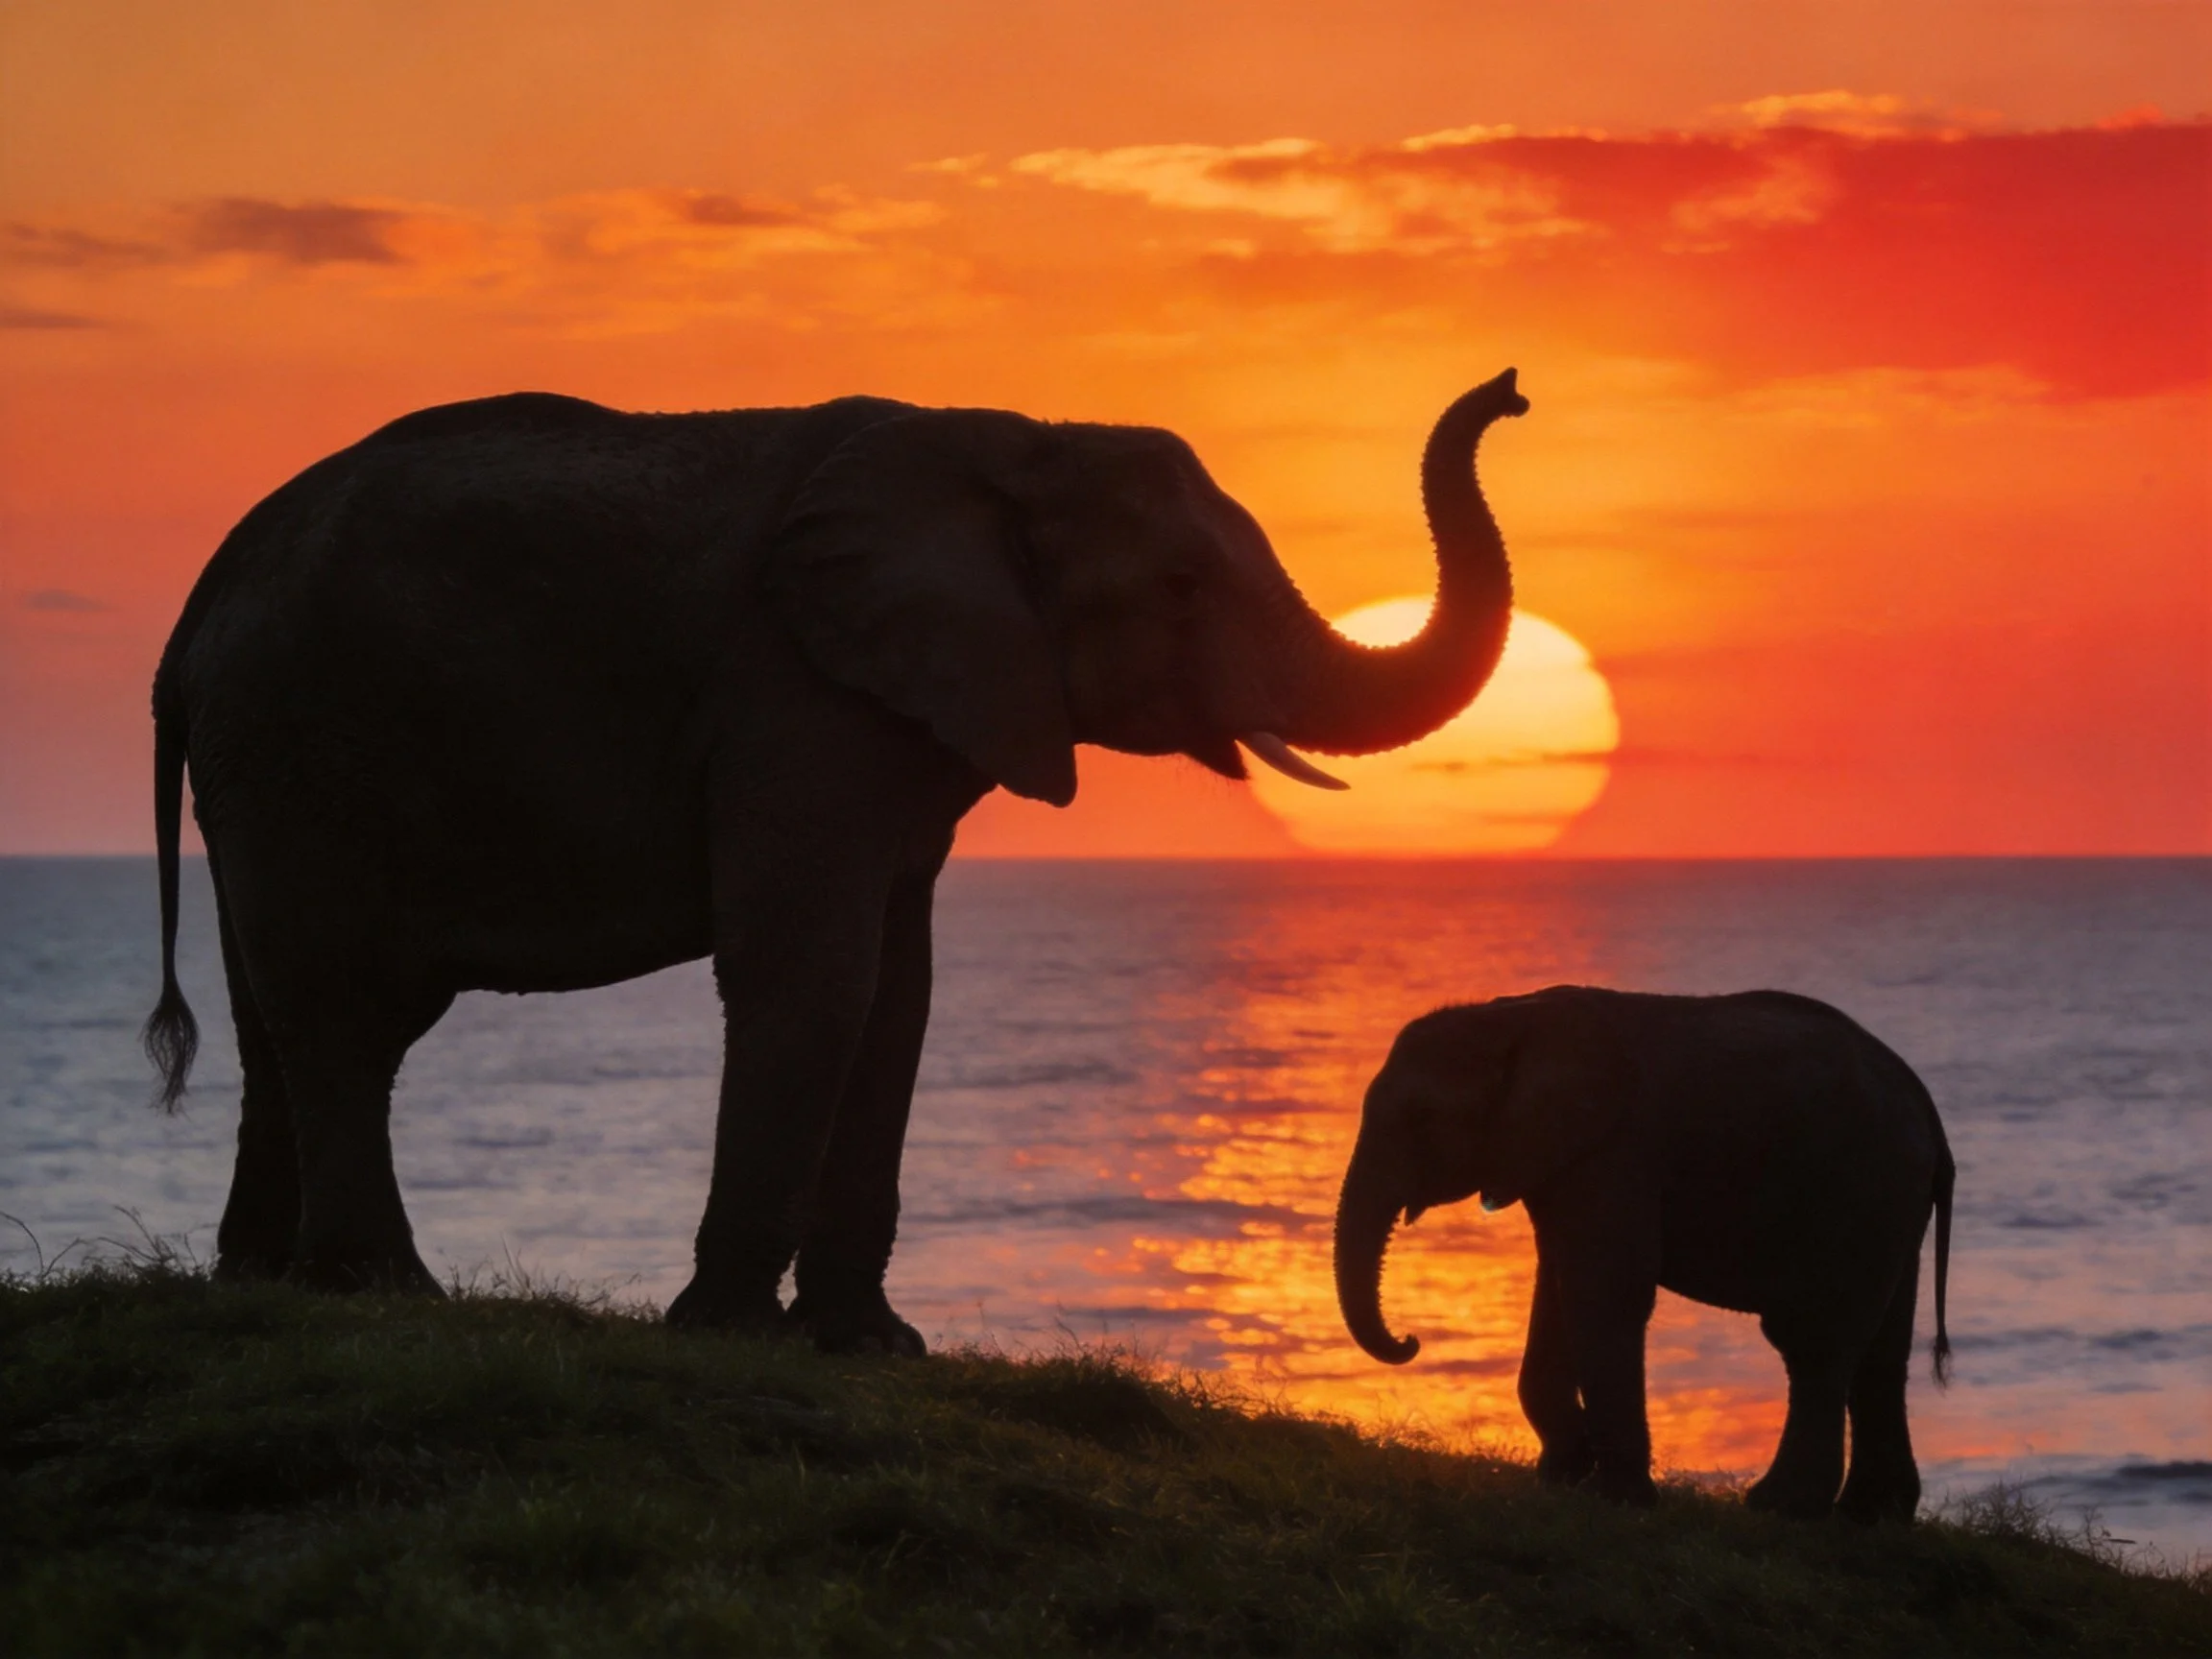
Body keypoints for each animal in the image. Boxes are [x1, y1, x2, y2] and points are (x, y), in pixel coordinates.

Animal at [142, 369, 1532, 1353]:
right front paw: (728, 1338)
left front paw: (871, 1348)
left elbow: (899, 994)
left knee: (275, 1009)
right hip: (304, 734)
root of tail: (200, 598)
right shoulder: (795, 691)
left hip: (266, 765)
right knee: (342, 1008)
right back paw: (389, 1293)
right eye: (1184, 584)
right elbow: (815, 973)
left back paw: (273, 1285)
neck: (1009, 436)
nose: (1513, 391)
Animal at [1334, 986, 1954, 1521]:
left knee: (1813, 1343)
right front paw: (1561, 1477)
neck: (1513, 1016)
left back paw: (1780, 1509)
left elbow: (1604, 1292)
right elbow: (1558, 1286)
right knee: (1880, 1352)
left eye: (1420, 1118)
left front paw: (1614, 1499)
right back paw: (1869, 1518)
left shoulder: (1617, 1151)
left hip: (1861, 1191)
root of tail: (1926, 1106)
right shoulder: (1560, 1160)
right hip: (1892, 1206)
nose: (1411, 1340)